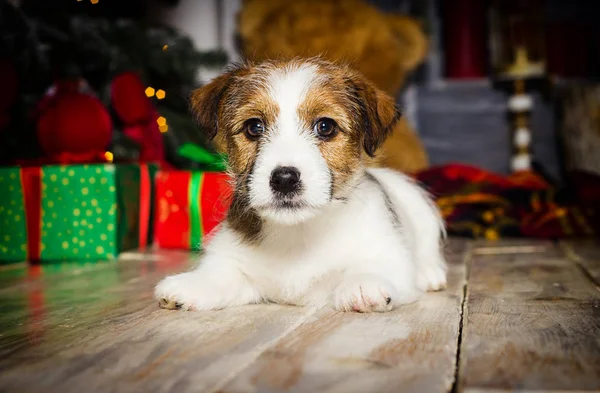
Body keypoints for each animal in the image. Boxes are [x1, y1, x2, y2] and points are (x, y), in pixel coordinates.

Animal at [155, 56, 446, 312]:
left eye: (326, 126)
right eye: (254, 127)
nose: (284, 179)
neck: (299, 233)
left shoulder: (389, 254)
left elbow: (373, 265)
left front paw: (364, 283)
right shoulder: (236, 264)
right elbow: (221, 275)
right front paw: (193, 284)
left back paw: (430, 273)